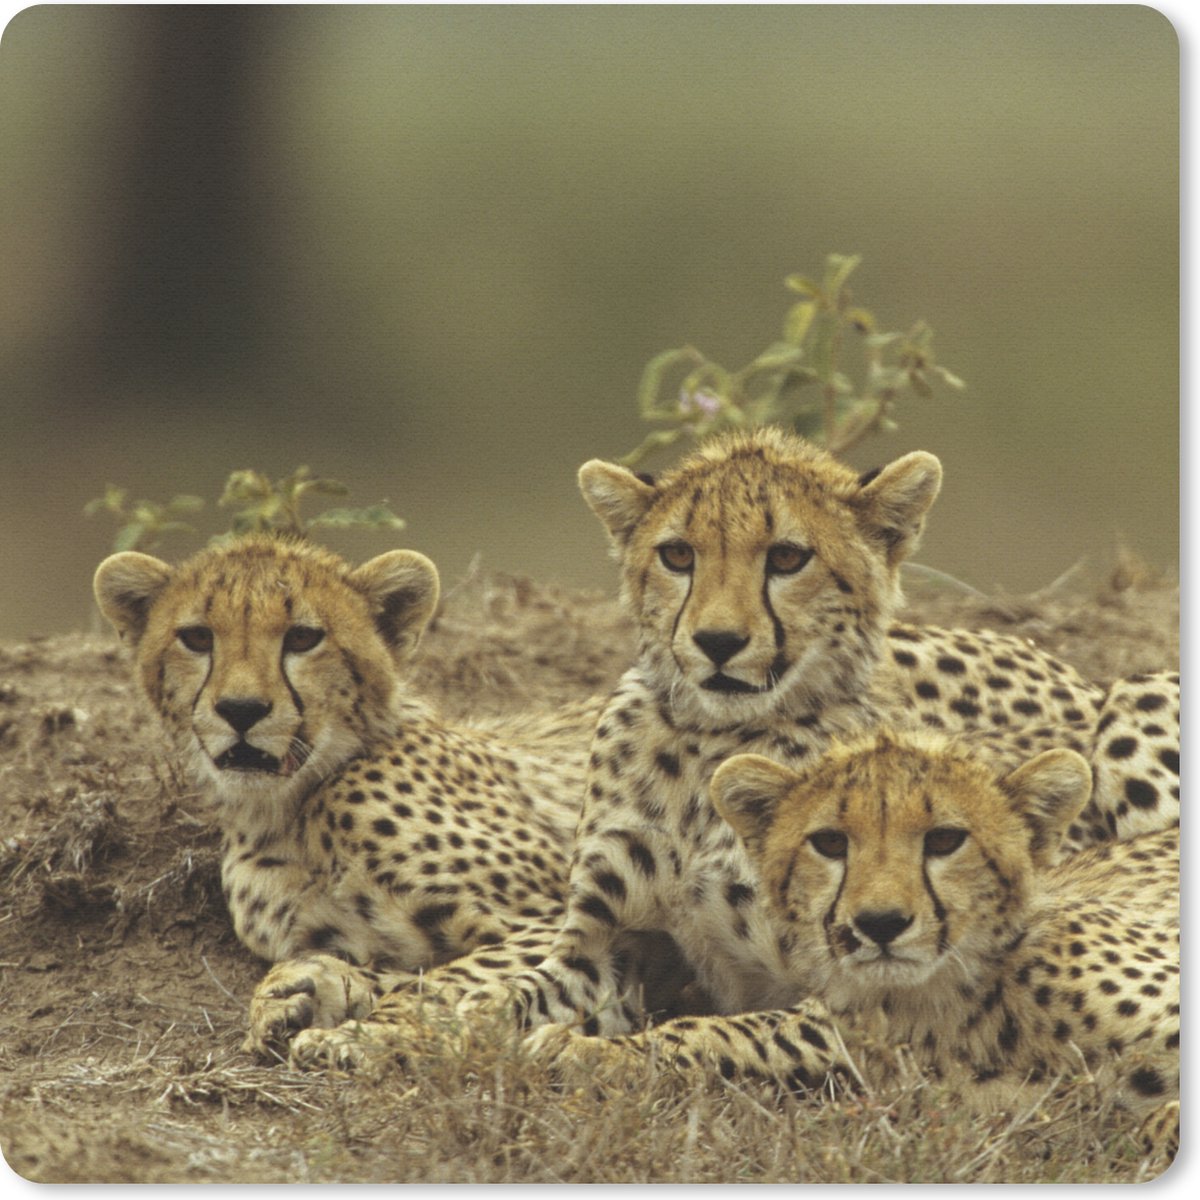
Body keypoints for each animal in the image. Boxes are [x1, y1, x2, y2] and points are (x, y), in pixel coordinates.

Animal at [93, 533, 637, 1044]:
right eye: (197, 637)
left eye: (303, 638)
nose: (241, 709)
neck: (289, 810)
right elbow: (400, 970)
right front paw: (301, 993)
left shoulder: (560, 920)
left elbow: (451, 981)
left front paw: (369, 1031)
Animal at [272, 427, 1177, 1073]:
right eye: (678, 554)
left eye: (788, 557)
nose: (715, 641)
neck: (709, 747)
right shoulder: (609, 946)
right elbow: (503, 997)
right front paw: (384, 1036)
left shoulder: (841, 991)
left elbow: (715, 1038)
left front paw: (587, 1057)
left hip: (1136, 703)